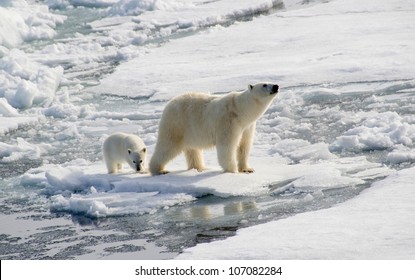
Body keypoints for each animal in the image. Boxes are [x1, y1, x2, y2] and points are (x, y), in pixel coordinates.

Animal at [149, 82, 280, 175]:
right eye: (264, 84)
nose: (276, 86)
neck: (240, 110)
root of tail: (168, 104)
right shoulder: (228, 122)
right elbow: (227, 146)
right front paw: (232, 170)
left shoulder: (247, 126)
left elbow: (244, 146)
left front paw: (247, 169)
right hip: (176, 124)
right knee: (168, 146)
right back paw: (159, 170)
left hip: (190, 130)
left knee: (192, 149)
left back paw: (199, 167)